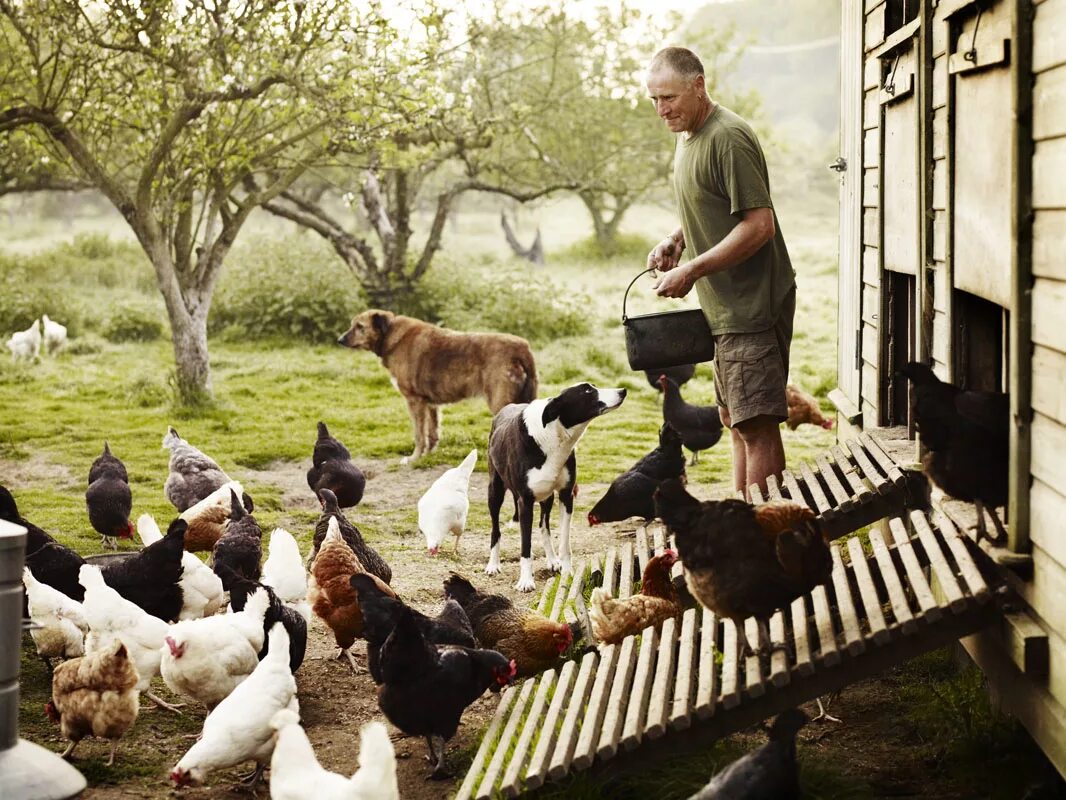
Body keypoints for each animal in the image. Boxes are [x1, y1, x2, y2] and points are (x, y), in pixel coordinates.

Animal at [336, 313, 537, 462]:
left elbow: (419, 434)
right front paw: (428, 455)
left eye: (360, 327)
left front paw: (414, 457)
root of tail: (522, 348)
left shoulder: (414, 401)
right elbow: (432, 432)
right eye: (353, 325)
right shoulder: (431, 404)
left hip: (501, 404)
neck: (391, 336)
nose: (339, 340)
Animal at [486, 386, 622, 593]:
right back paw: (493, 564)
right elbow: (526, 546)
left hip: (546, 497)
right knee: (496, 528)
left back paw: (551, 560)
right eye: (587, 391)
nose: (623, 391)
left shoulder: (566, 495)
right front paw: (526, 581)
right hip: (495, 491)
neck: (553, 437)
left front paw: (567, 571)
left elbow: (564, 542)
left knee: (544, 527)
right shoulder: (525, 501)